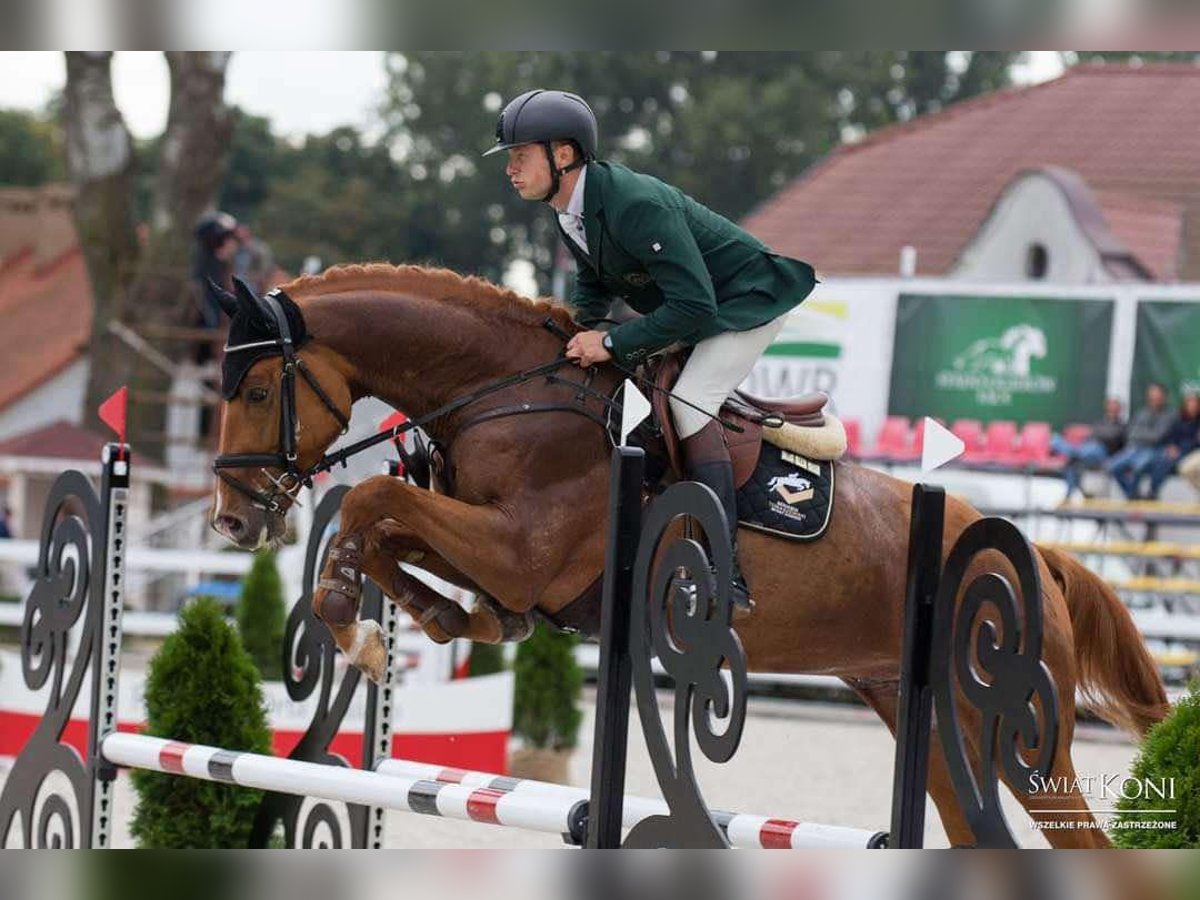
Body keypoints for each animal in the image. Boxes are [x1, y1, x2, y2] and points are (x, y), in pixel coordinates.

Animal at [211, 264, 1166, 849]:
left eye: (255, 391)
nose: (231, 521)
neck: (504, 396)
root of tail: (1033, 556)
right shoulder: (486, 543)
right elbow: (386, 529)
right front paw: (434, 618)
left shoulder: (521, 550)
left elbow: (373, 501)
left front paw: (357, 623)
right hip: (921, 716)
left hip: (1017, 739)